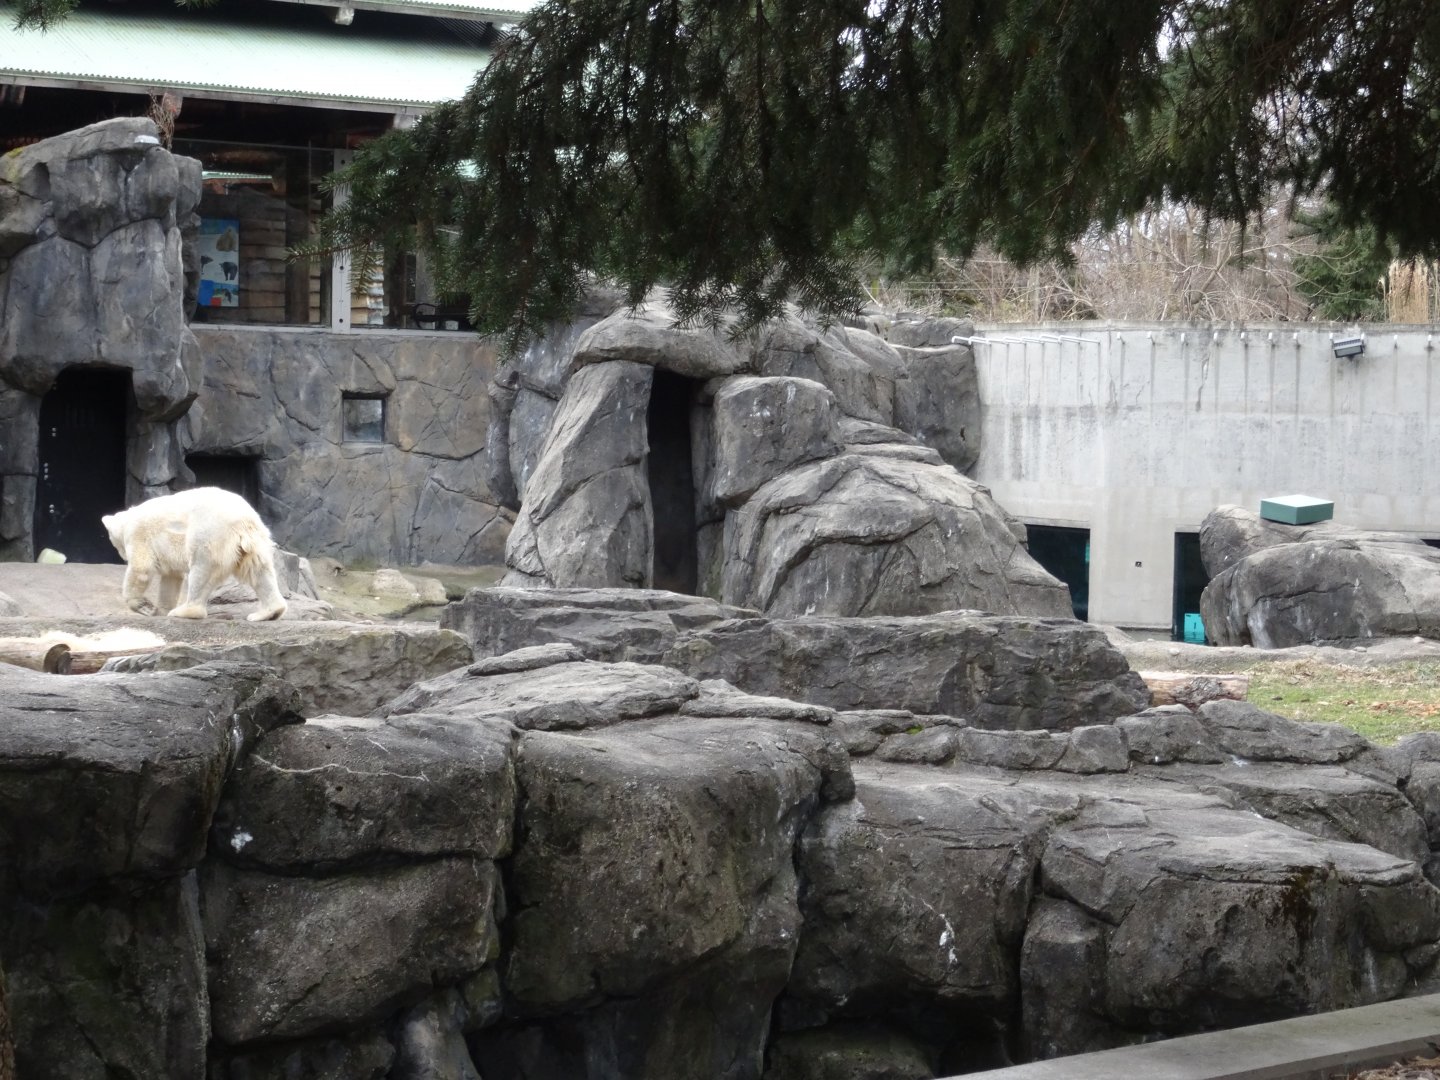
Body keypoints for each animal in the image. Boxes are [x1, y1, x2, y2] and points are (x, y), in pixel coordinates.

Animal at [101, 487, 288, 621]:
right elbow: (171, 578)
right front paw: (159, 611)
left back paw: (185, 611)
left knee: (201, 570)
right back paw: (268, 612)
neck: (127, 520)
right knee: (259, 570)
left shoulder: (139, 534)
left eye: (113, 542)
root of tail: (244, 520)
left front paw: (143, 606)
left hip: (209, 535)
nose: (123, 556)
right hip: (252, 540)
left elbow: (141, 568)